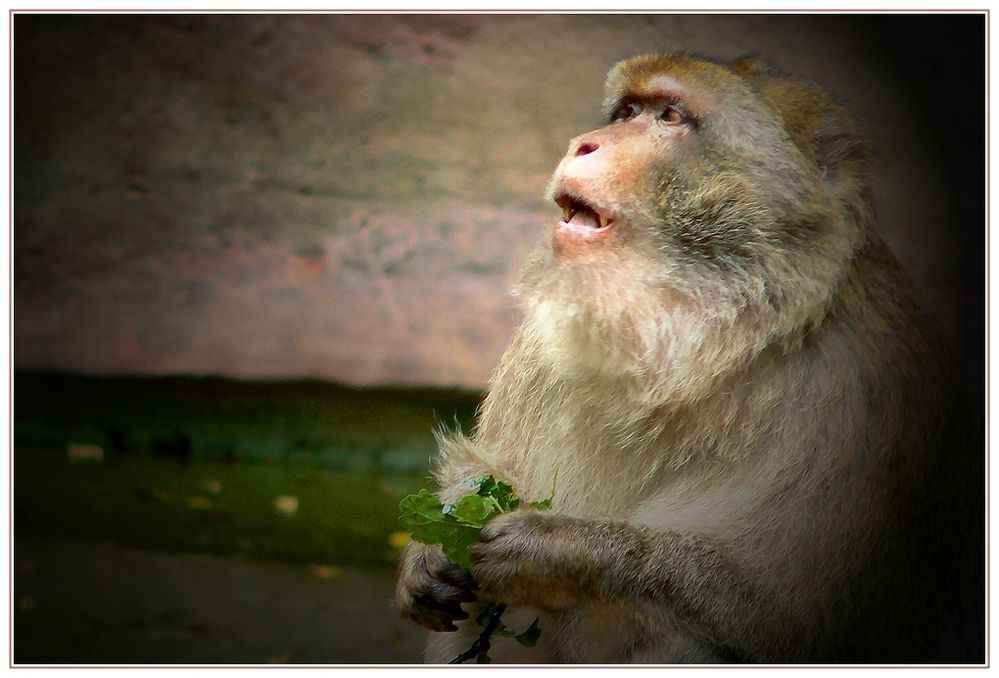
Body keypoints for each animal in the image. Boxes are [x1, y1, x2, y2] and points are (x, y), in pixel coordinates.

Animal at [392, 51, 984, 664]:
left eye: (670, 116)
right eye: (627, 111)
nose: (583, 143)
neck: (690, 347)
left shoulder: (863, 392)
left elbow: (794, 618)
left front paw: (562, 548)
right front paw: (439, 535)